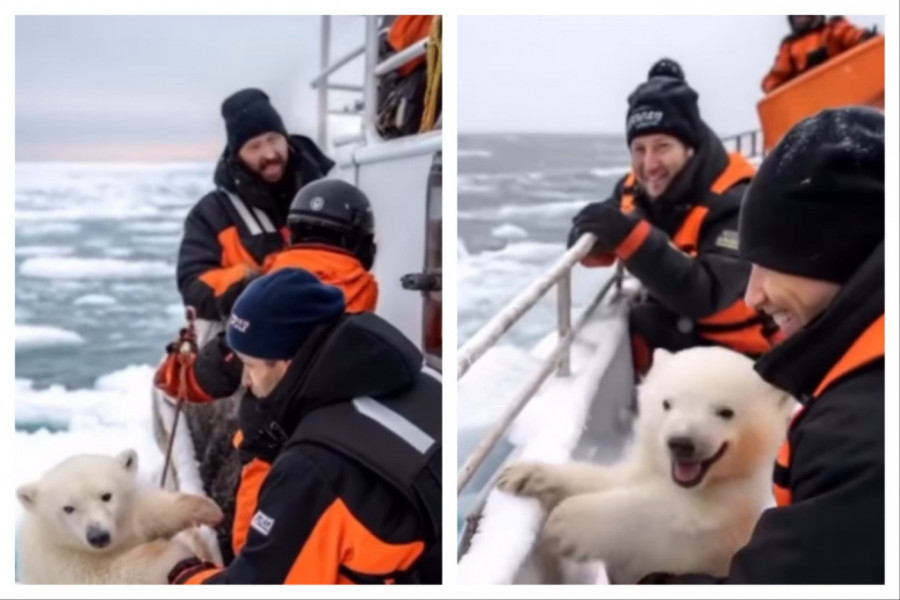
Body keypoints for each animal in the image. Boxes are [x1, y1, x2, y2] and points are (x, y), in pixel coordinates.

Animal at [17, 450, 223, 584]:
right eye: (68, 508)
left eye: (106, 496)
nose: (99, 536)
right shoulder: (63, 562)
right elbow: (108, 576)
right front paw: (176, 555)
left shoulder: (130, 518)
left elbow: (150, 512)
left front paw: (209, 510)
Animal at [500, 344, 796, 584]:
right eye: (667, 404)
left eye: (726, 412)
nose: (681, 443)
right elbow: (608, 480)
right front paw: (523, 475)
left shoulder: (719, 528)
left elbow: (660, 519)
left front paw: (566, 522)